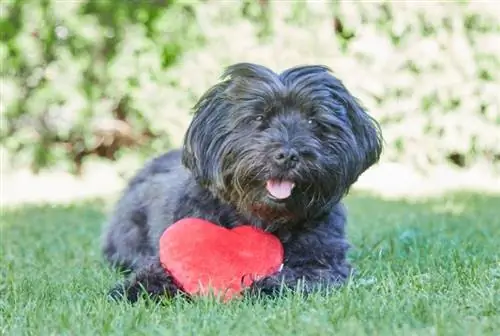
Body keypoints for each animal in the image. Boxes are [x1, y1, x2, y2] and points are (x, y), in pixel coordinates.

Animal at [100, 63, 382, 302]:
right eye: (258, 118)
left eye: (313, 121)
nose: (287, 155)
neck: (263, 218)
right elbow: (158, 269)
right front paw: (136, 289)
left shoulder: (325, 261)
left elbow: (304, 275)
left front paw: (263, 285)